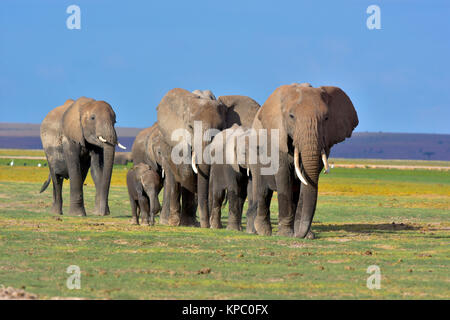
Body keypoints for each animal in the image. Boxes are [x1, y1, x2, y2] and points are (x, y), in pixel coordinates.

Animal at [250, 84, 358, 239]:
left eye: (326, 118)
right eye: (291, 116)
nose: (298, 235)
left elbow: (306, 181)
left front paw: (307, 235)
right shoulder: (278, 137)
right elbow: (283, 176)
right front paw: (286, 234)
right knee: (263, 190)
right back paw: (263, 231)